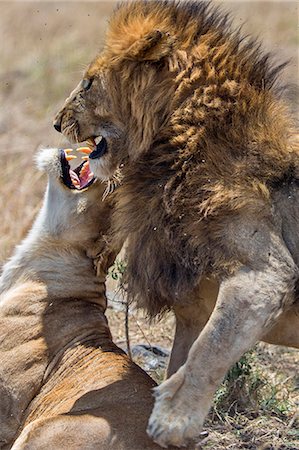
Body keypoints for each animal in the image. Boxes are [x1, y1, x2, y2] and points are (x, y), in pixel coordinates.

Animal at [54, 0, 299, 446]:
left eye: (88, 83)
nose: (56, 122)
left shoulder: (268, 273)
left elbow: (211, 348)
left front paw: (171, 420)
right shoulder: (191, 306)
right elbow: (186, 354)